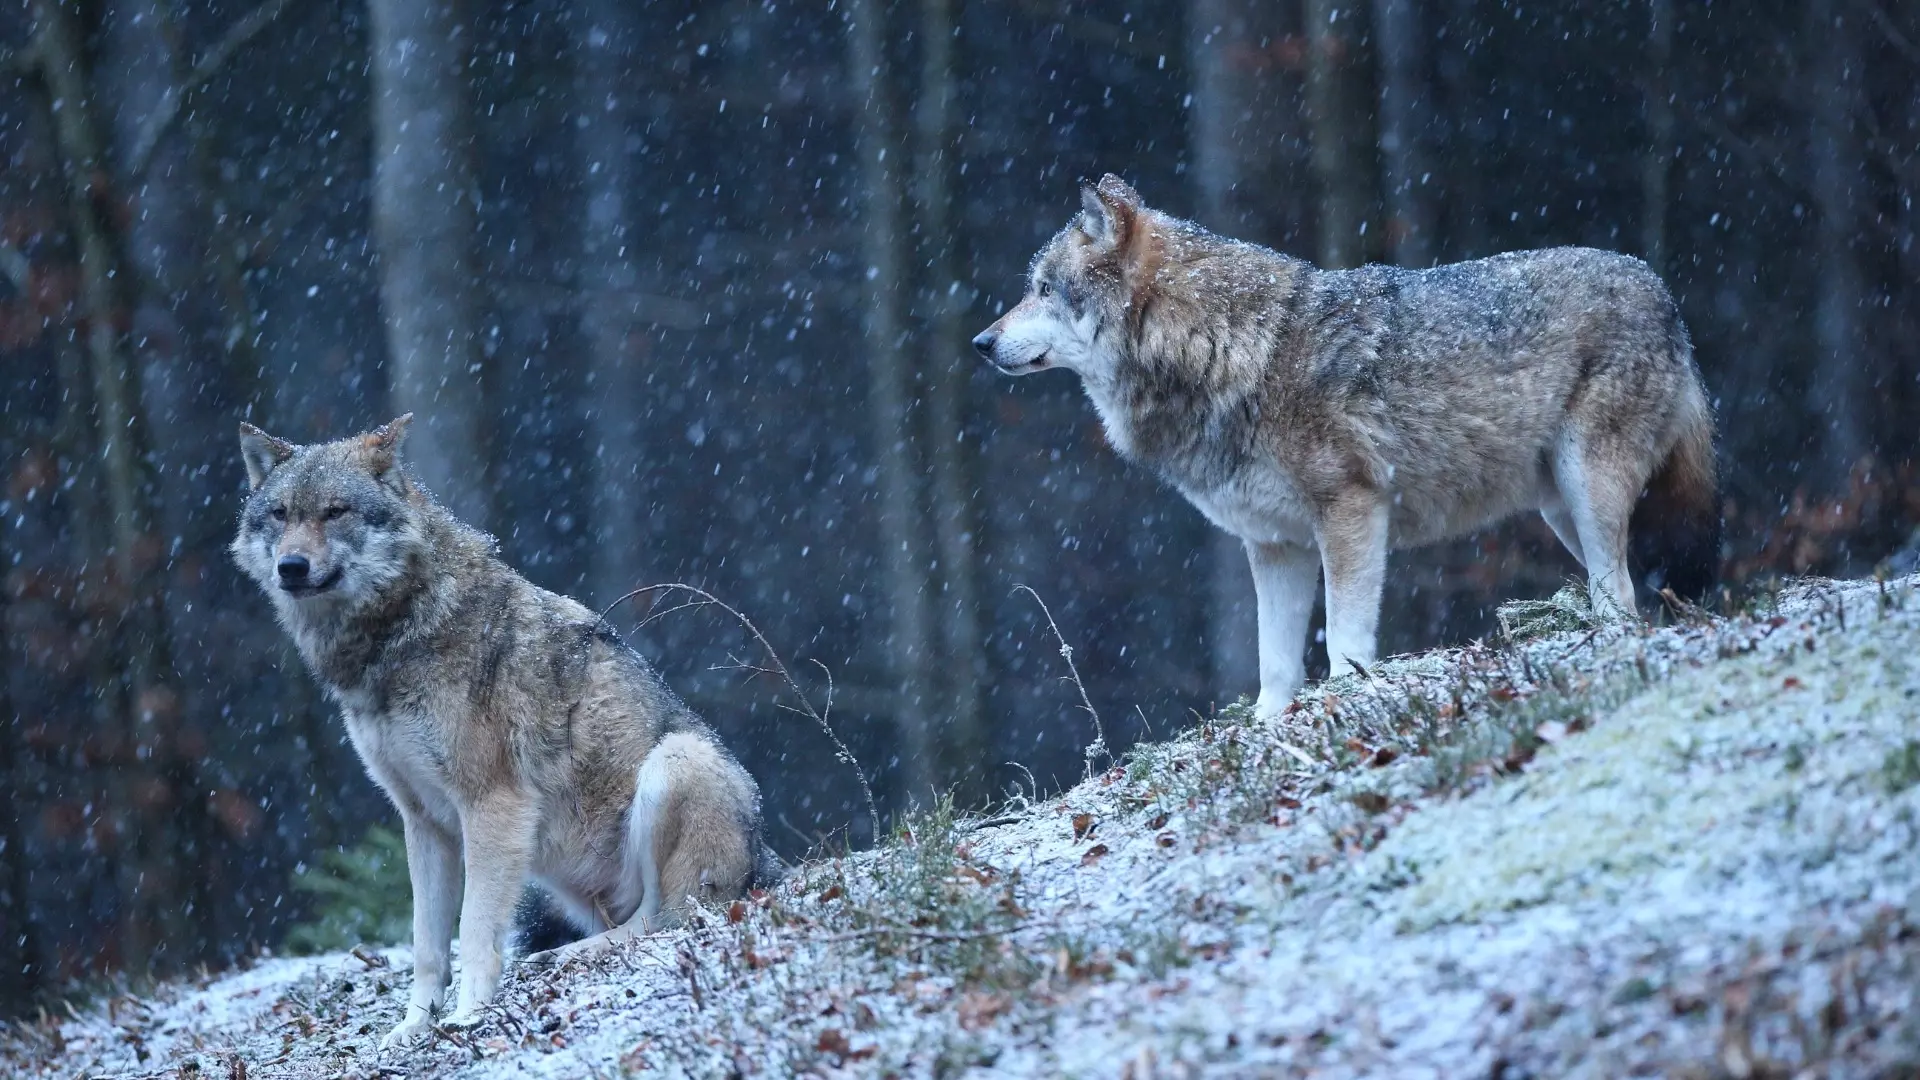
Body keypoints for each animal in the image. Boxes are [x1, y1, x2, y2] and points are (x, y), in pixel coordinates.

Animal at [236, 411, 775, 1045]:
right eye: (280, 514)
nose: (290, 566)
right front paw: (413, 1029)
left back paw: (566, 956)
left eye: (335, 511)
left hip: (676, 762)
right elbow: (427, 946)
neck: (399, 632)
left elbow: (473, 931)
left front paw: (469, 1017)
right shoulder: (422, 822)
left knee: (665, 917)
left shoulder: (492, 806)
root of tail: (765, 861)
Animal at [975, 174, 1728, 714]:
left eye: (1043, 289)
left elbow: (1343, 635)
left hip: (1586, 489)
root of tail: (1664, 292)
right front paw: (1268, 729)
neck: (1231, 350)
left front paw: (1348, 694)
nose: (981, 342)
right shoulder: (1274, 546)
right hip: (1561, 510)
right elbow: (1275, 663)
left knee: (1621, 595)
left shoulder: (1352, 511)